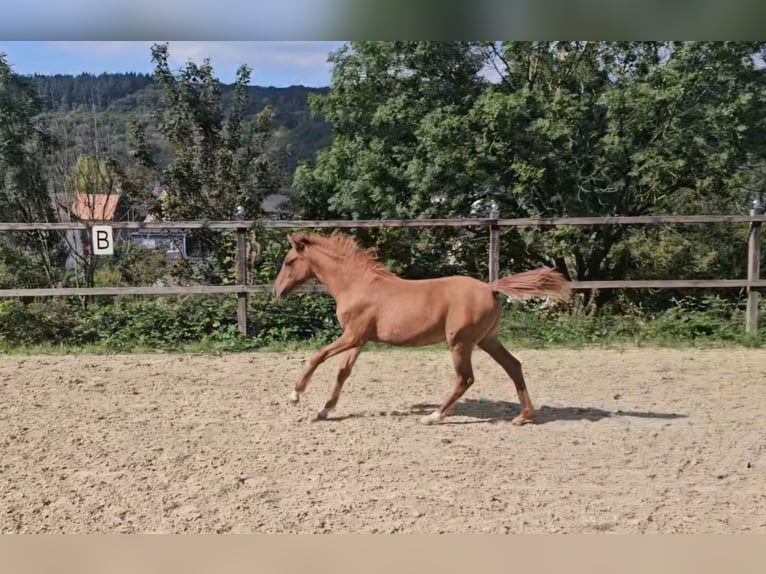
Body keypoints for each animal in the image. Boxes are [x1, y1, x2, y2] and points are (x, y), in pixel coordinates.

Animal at [272, 232, 572, 426]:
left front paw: (295, 395)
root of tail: (490, 287)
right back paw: (523, 416)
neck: (356, 284)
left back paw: (434, 416)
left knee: (466, 378)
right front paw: (325, 410)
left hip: (460, 342)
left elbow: (318, 356)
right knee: (513, 366)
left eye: (289, 262)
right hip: (487, 339)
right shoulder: (360, 339)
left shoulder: (352, 335)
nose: (277, 291)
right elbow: (343, 372)